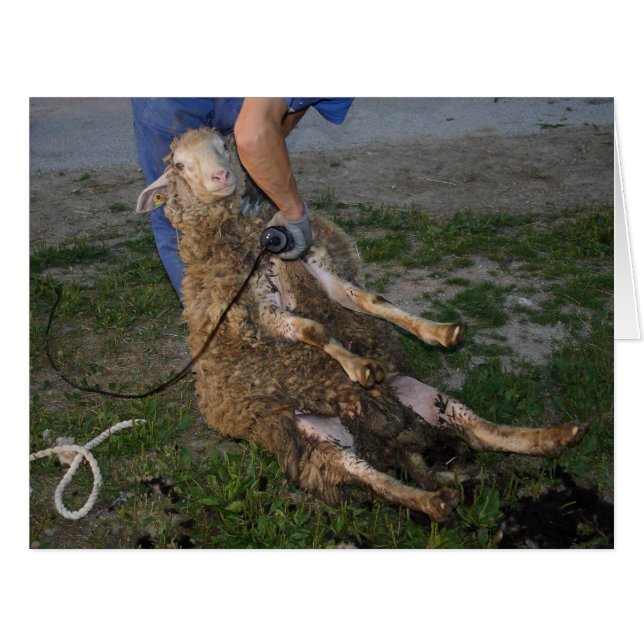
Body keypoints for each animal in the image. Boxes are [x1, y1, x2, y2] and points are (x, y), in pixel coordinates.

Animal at [136, 127, 588, 522]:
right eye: (179, 164)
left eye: (224, 146)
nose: (222, 176)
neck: (252, 244)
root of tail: (389, 439)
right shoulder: (258, 313)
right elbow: (312, 330)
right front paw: (359, 366)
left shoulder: (314, 271)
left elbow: (370, 302)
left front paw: (438, 331)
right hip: (316, 444)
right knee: (374, 480)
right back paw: (433, 500)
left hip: (422, 396)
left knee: (479, 431)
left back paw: (556, 436)